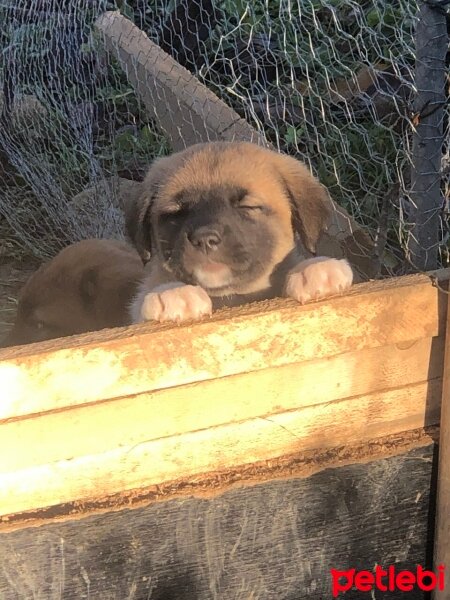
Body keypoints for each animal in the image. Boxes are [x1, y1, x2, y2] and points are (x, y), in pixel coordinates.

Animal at [125, 142, 352, 324]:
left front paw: (315, 268)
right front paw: (173, 292)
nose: (204, 239)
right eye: (176, 213)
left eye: (247, 207)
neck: (232, 298)